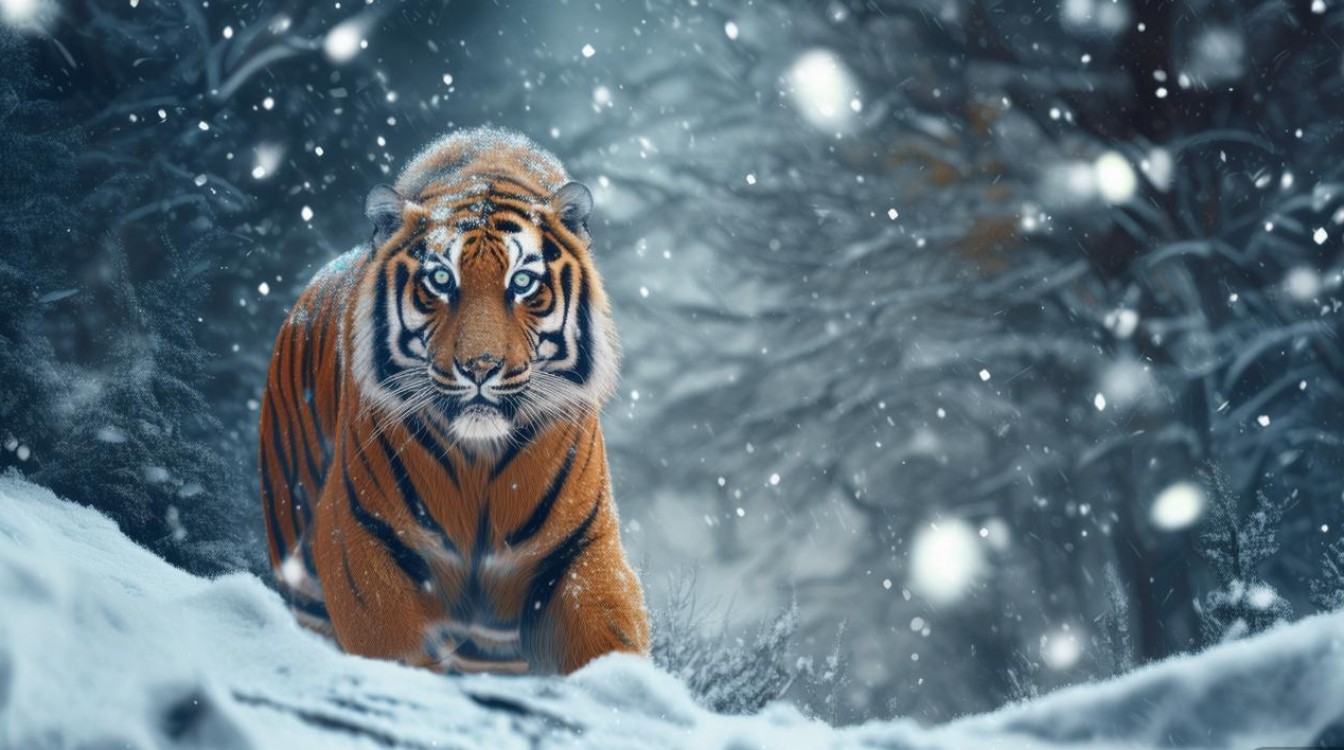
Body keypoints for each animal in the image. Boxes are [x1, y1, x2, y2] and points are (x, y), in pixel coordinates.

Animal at [257, 127, 649, 675]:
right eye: (441, 280)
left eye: (522, 282)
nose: (480, 366)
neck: (480, 459)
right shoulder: (360, 538)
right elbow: (393, 648)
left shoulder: (580, 549)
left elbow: (608, 639)